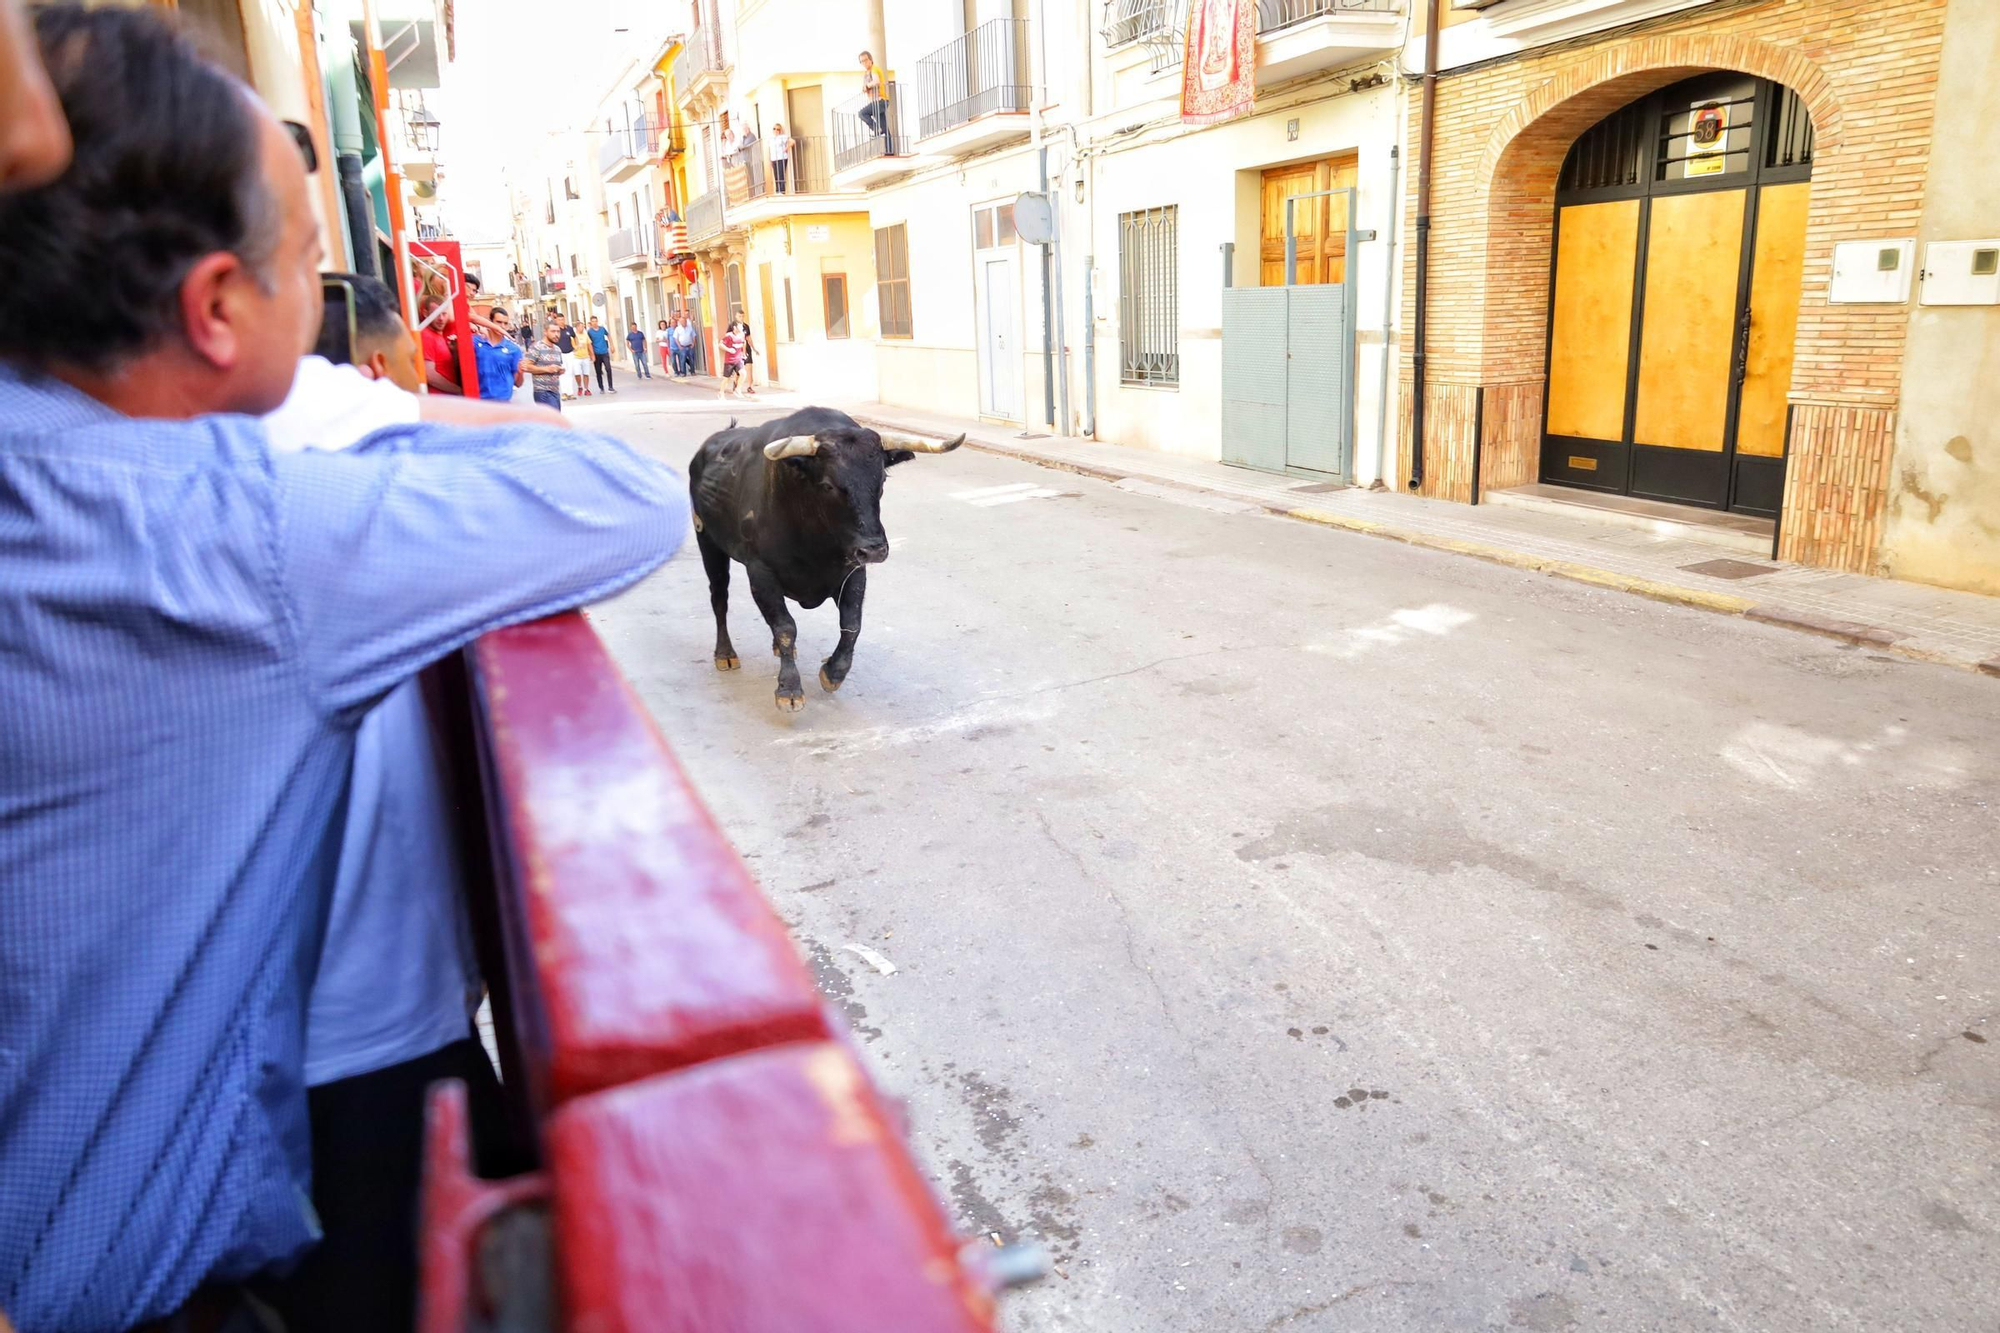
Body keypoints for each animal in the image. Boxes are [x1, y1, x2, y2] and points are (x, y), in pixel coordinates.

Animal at [692, 404, 964, 712]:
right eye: (828, 486)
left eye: (882, 480)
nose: (875, 549)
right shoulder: (760, 572)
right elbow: (785, 627)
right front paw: (789, 688)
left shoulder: (853, 571)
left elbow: (852, 624)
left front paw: (834, 672)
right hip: (708, 542)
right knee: (719, 597)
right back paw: (725, 654)